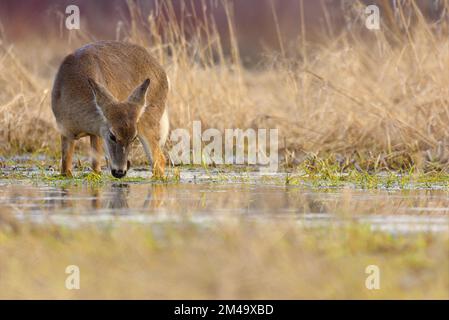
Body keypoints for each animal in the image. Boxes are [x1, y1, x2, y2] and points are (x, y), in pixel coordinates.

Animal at [50, 40, 169, 178]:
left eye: (133, 138)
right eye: (112, 136)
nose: (120, 172)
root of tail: (163, 72)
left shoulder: (96, 132)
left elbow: (96, 168)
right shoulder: (65, 130)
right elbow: (66, 170)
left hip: (148, 121)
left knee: (160, 159)